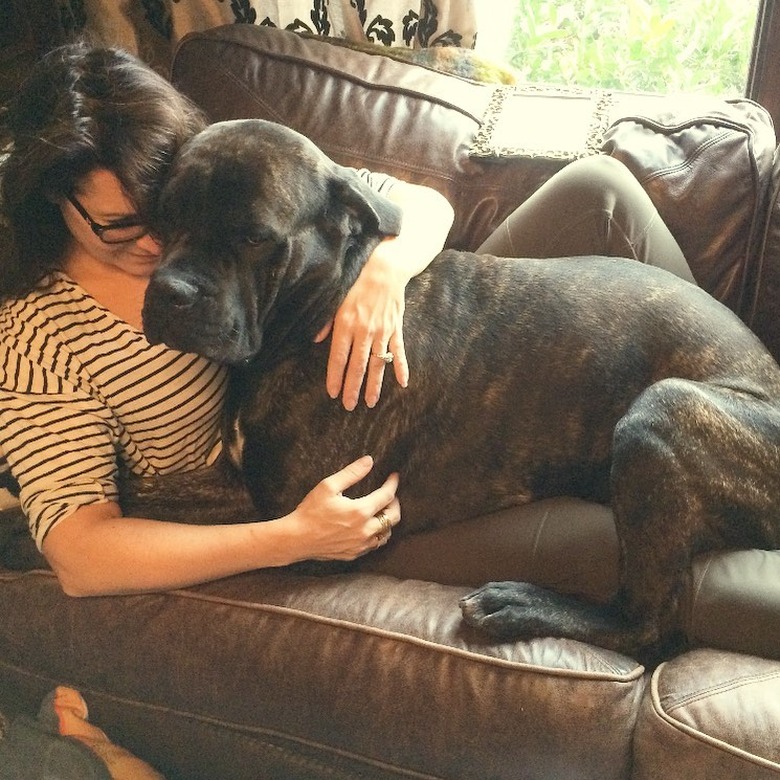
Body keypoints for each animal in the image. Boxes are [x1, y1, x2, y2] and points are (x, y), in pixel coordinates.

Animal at [142, 119, 780, 660]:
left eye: (255, 237)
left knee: (647, 624)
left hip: (664, 410)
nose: (169, 292)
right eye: (163, 220)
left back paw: (520, 605)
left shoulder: (300, 519)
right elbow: (154, 495)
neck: (317, 310)